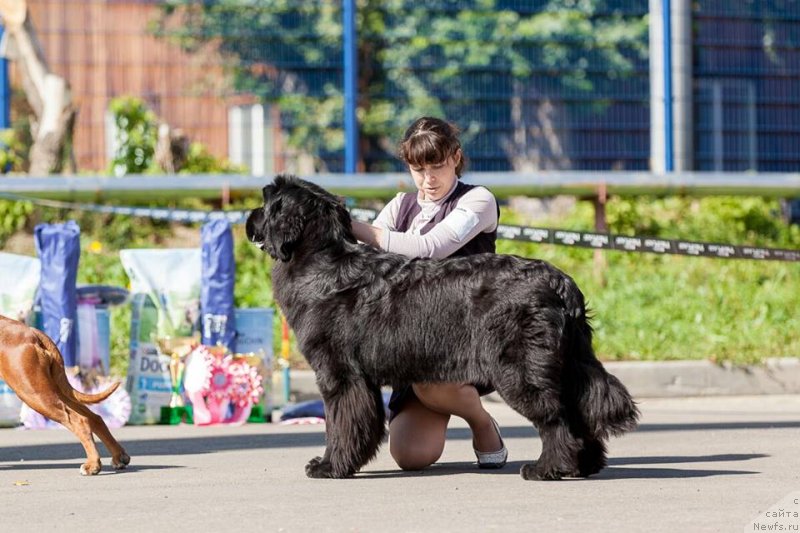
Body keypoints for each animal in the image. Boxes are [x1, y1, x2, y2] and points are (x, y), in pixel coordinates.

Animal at [0, 314, 130, 472]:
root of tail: (32, 333)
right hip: (55, 390)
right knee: (94, 418)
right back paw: (119, 457)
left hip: (33, 393)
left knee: (80, 420)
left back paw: (93, 464)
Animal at [247, 174, 640, 478]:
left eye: (265, 203)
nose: (249, 217)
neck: (322, 259)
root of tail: (561, 282)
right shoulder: (360, 380)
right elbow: (361, 423)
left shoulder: (339, 376)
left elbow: (339, 423)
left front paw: (329, 466)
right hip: (569, 363)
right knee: (579, 410)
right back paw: (584, 465)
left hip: (521, 371)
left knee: (556, 419)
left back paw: (547, 469)